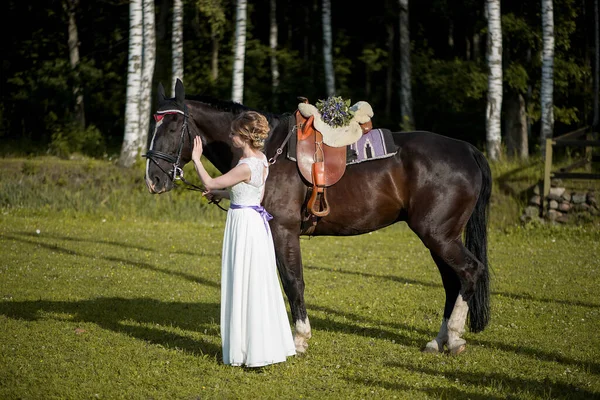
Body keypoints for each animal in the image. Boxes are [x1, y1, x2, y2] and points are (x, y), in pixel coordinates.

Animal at [145, 79, 492, 356]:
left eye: (173, 127)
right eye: (152, 126)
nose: (154, 179)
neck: (269, 150)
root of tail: (467, 149)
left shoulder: (283, 230)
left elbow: (293, 281)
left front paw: (299, 339)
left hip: (438, 235)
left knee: (470, 271)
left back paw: (455, 339)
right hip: (439, 238)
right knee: (452, 281)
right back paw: (439, 340)